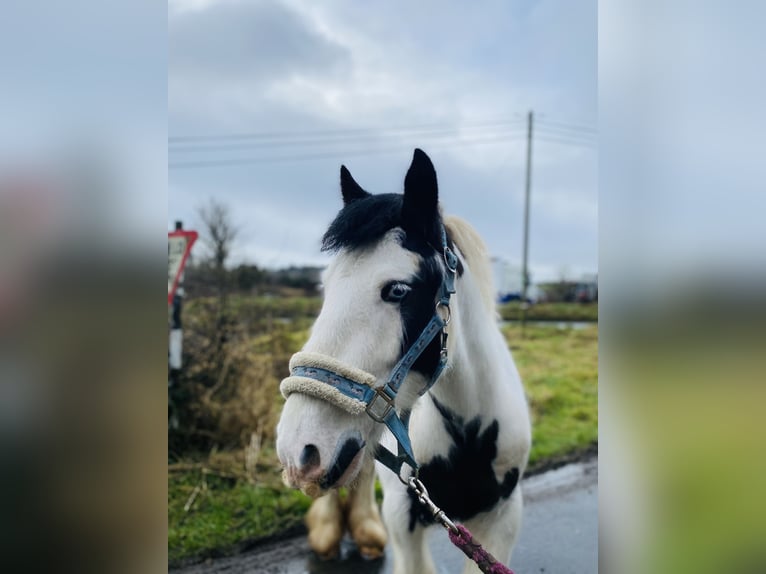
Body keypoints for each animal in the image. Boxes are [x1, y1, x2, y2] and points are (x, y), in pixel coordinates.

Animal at [278, 150, 536, 574]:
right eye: (325, 286)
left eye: (398, 290)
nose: (299, 450)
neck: (469, 433)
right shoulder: (403, 518)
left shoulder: (502, 521)